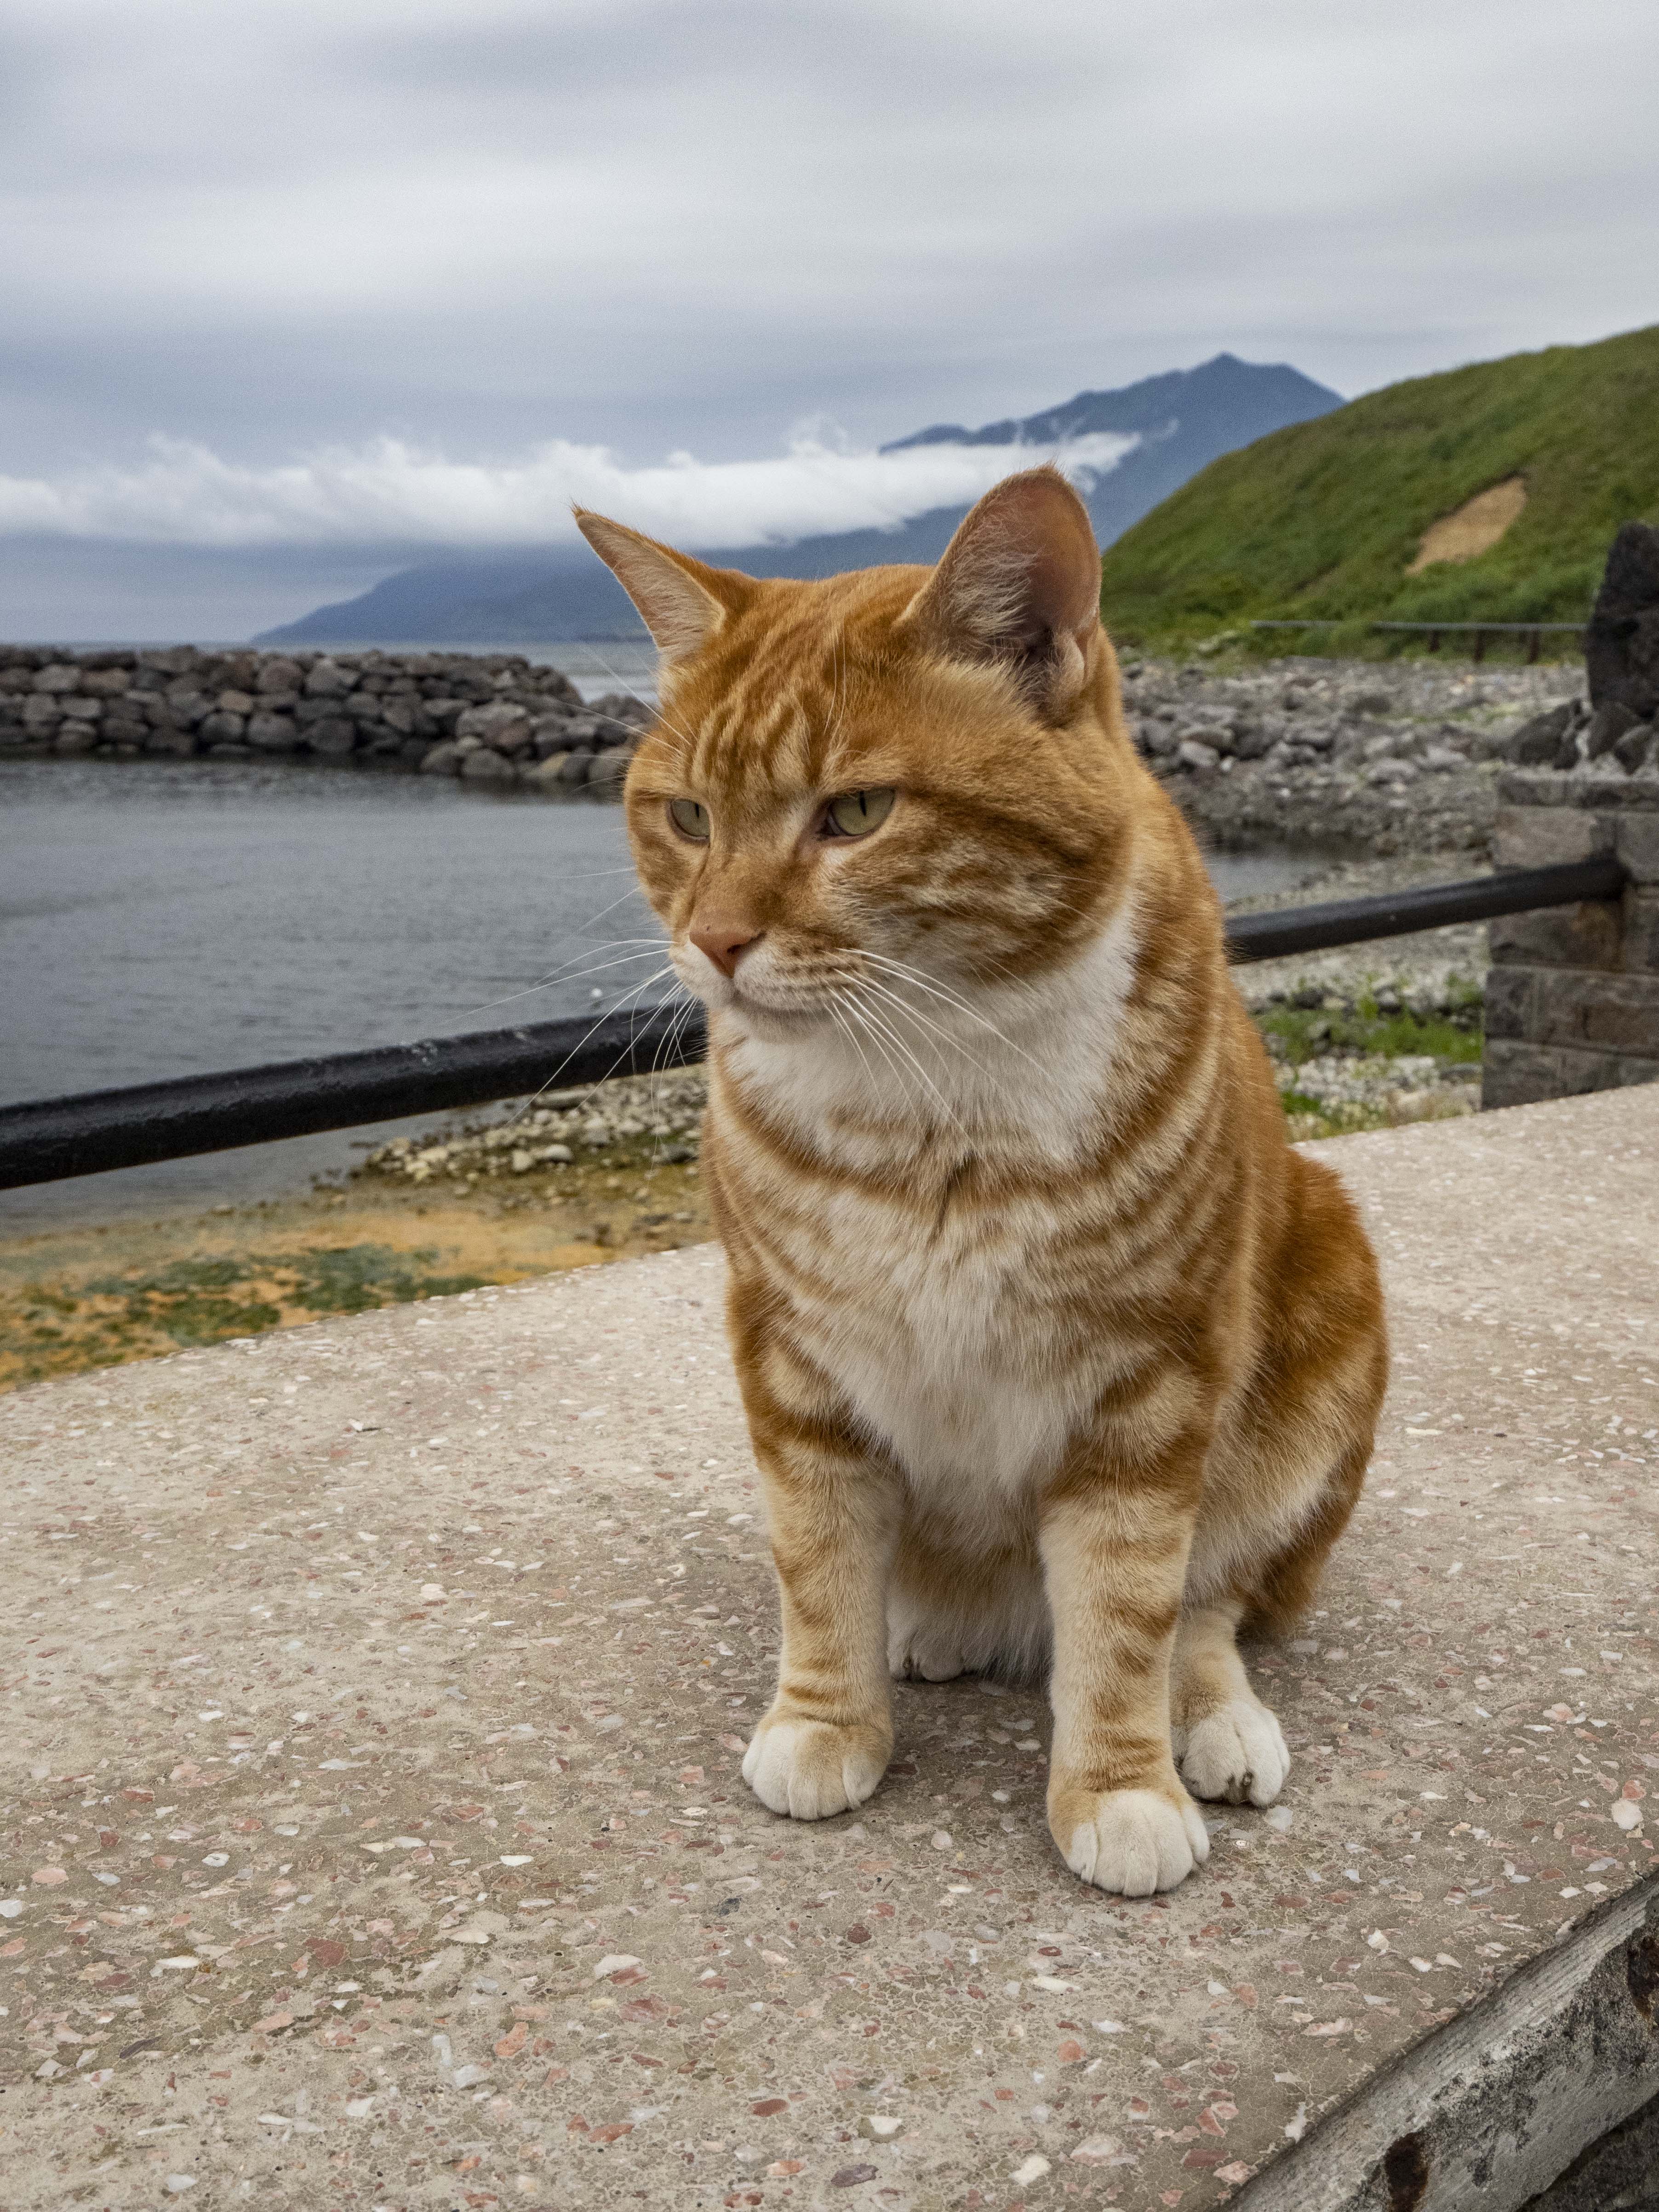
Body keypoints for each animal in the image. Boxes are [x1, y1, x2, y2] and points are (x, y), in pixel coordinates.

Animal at [584, 471, 1389, 1902]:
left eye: (854, 813)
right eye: (687, 817)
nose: (714, 940)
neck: (930, 1093)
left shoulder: (1149, 1382)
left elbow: (1129, 1604)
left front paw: (1119, 1786)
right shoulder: (791, 1356)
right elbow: (818, 1564)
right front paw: (825, 1718)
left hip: (1331, 1292)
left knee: (1212, 1597)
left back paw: (1210, 1716)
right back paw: (934, 1629)